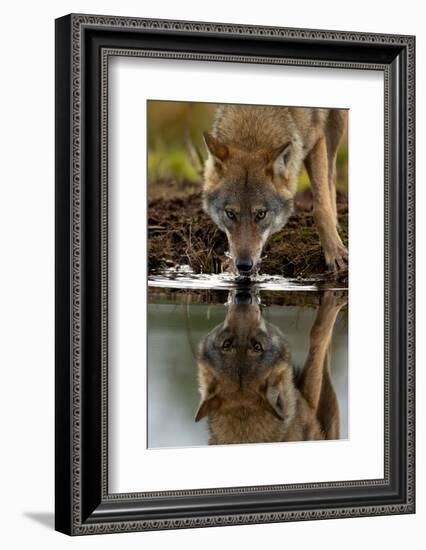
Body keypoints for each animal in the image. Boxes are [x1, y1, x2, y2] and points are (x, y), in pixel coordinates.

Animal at [194, 292, 346, 446]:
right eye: (258, 346)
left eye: (227, 344)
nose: (243, 297)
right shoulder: (310, 404)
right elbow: (318, 336)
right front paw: (334, 300)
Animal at [202, 104, 346, 276]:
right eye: (230, 214)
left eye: (261, 214)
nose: (243, 265)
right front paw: (231, 266)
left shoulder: (317, 138)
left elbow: (320, 209)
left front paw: (335, 253)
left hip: (337, 121)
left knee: (331, 174)